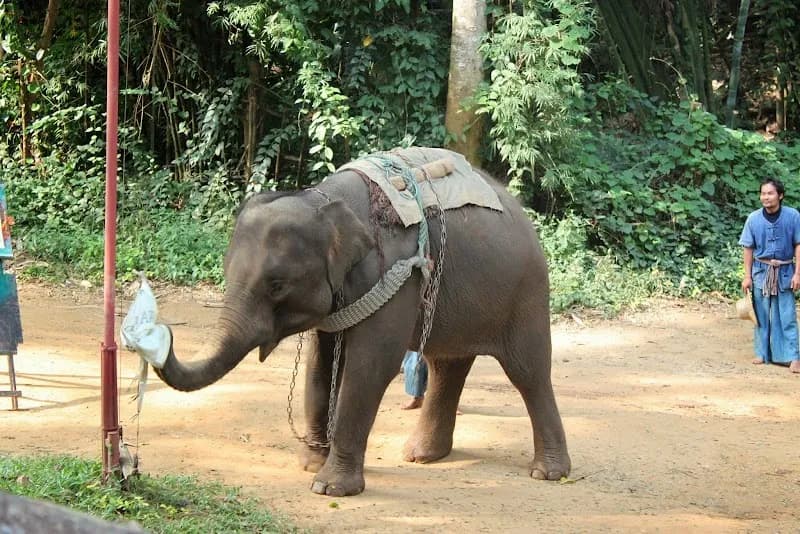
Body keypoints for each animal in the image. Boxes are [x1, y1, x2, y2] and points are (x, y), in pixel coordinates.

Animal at [153, 148, 571, 496]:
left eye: (277, 285)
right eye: (226, 273)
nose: (162, 331)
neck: (321, 199)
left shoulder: (395, 276)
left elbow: (369, 366)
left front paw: (329, 488)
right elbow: (319, 365)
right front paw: (310, 465)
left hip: (527, 293)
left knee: (528, 372)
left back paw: (548, 473)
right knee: (447, 366)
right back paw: (420, 455)